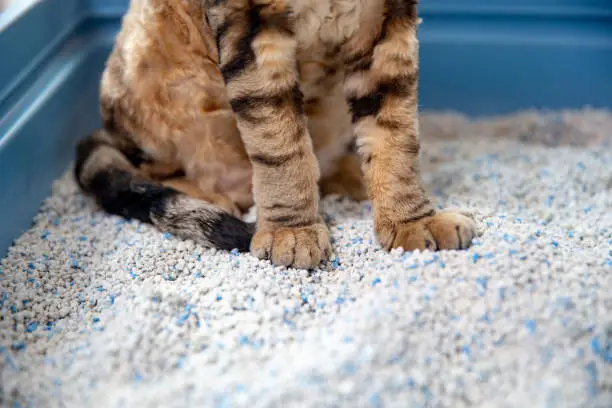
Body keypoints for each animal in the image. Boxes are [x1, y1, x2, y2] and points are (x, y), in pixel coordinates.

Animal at [75, 0, 478, 270]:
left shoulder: (385, 23)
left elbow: (395, 135)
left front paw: (411, 221)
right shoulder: (251, 26)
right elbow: (278, 141)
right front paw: (291, 232)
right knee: (161, 171)